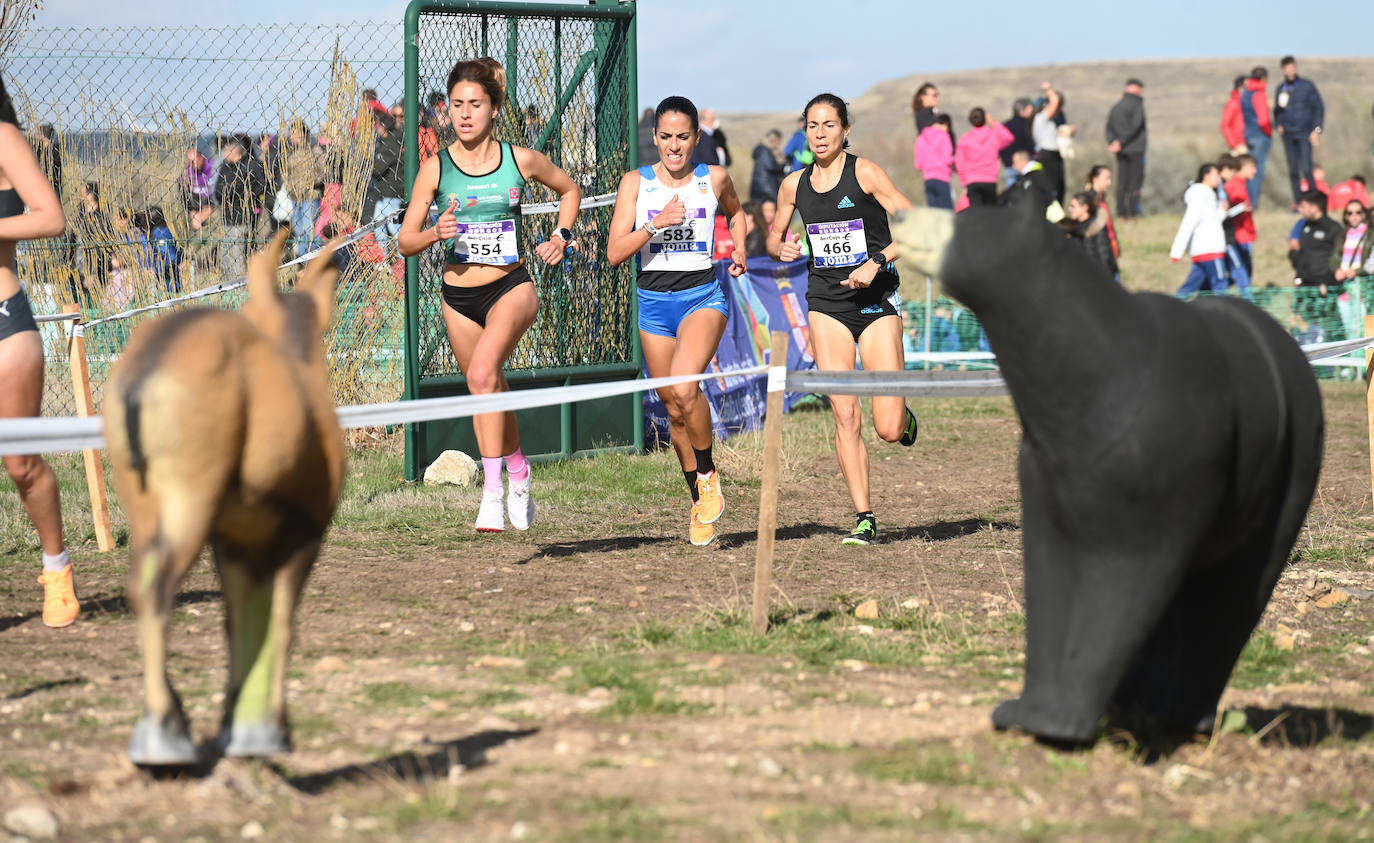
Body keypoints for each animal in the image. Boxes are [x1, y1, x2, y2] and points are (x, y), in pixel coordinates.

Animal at [884, 204, 1324, 746]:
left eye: (974, 217)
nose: (902, 213)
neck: (1091, 380)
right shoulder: (1046, 494)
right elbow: (1049, 588)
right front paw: (1026, 712)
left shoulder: (1154, 503)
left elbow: (1117, 598)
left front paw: (1063, 723)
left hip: (1288, 479)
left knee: (1236, 592)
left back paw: (1176, 715)